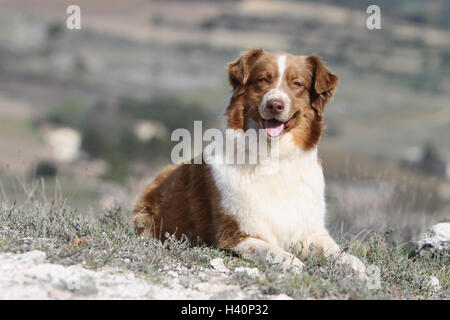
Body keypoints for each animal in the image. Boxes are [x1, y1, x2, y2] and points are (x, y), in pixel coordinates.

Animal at [133, 48, 366, 274]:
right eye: (263, 80)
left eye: (297, 83)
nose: (275, 105)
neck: (274, 159)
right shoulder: (235, 235)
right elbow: (271, 250)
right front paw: (291, 261)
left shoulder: (311, 230)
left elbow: (333, 249)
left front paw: (351, 262)